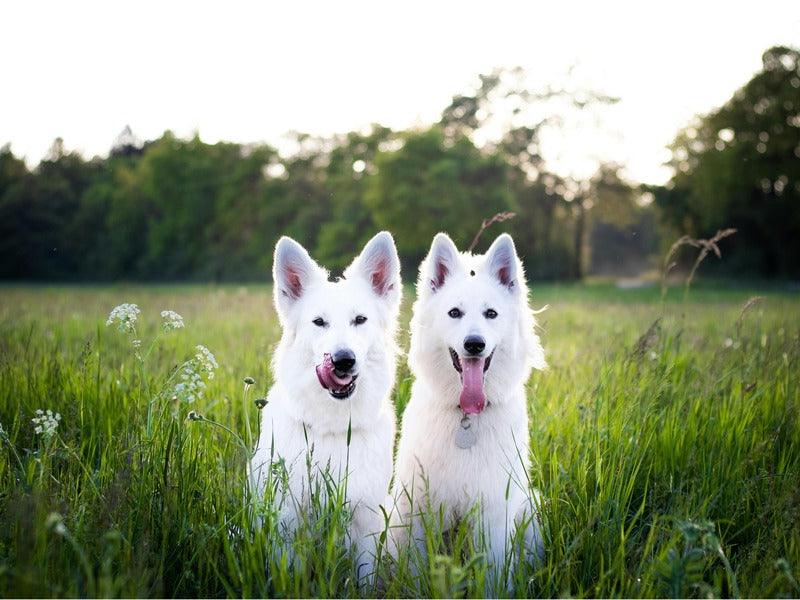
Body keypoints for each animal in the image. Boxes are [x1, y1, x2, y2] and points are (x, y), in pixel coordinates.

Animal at [250, 232, 400, 580]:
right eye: (319, 322)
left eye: (360, 320)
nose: (344, 360)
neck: (333, 430)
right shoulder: (287, 523)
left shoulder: (366, 523)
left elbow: (365, 579)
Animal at [390, 231, 548, 584]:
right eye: (454, 313)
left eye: (491, 314)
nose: (474, 344)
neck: (466, 418)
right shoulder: (418, 508)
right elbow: (416, 571)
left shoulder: (494, 510)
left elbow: (492, 575)